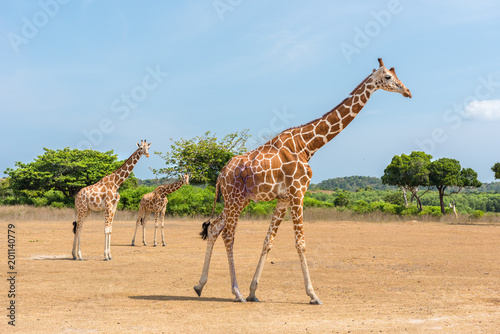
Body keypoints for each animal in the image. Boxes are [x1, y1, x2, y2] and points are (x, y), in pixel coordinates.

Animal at [193, 58, 412, 304]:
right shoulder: (298, 192)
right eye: (388, 77)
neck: (308, 145)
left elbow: (268, 241)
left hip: (238, 200)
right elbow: (301, 243)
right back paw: (236, 291)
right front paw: (313, 294)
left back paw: (201, 285)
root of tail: (220, 174)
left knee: (214, 229)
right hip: (235, 199)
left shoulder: (283, 198)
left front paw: (253, 291)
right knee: (228, 235)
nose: (407, 91)